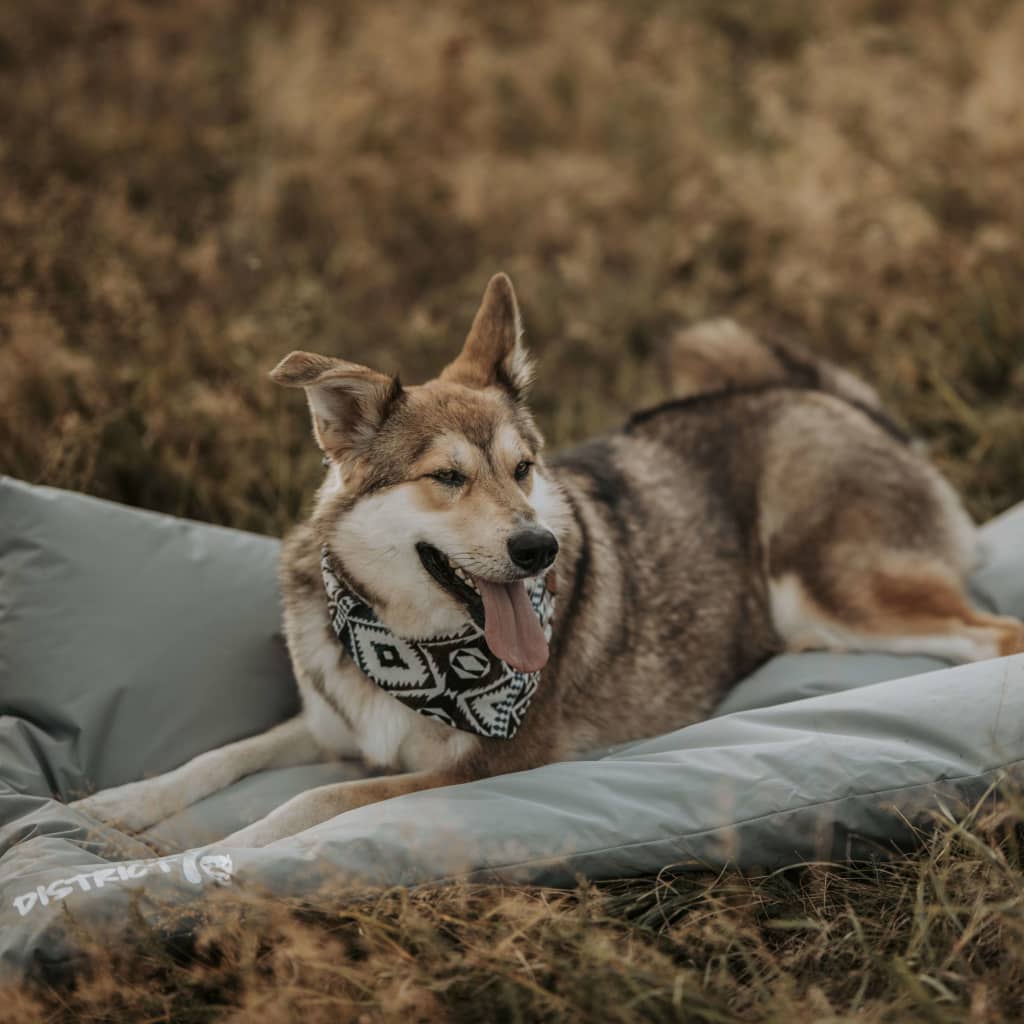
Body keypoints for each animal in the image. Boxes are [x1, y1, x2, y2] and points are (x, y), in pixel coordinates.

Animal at [74, 274, 1024, 847]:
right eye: (448, 477)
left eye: (525, 467)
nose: (541, 547)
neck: (414, 644)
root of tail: (838, 402)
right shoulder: (329, 724)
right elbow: (217, 758)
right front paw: (113, 811)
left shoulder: (483, 768)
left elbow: (304, 804)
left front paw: (182, 862)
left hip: (835, 593)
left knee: (993, 636)